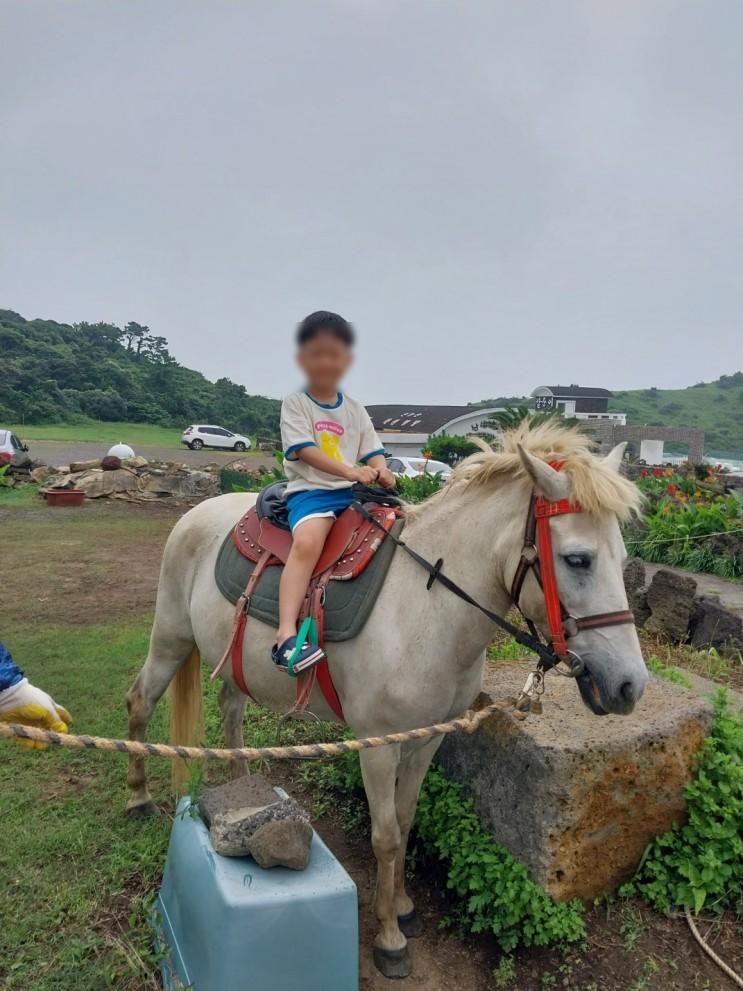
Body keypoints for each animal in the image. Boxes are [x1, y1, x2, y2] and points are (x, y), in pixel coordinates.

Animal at [126, 422, 644, 980]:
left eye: (623, 559)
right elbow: (388, 835)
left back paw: (245, 788)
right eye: (577, 559)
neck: (427, 607)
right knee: (141, 701)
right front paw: (390, 938)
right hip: (172, 638)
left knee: (230, 708)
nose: (630, 686)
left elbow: (407, 816)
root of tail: (198, 512)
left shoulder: (428, 738)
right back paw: (138, 799)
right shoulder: (377, 744)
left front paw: (401, 906)